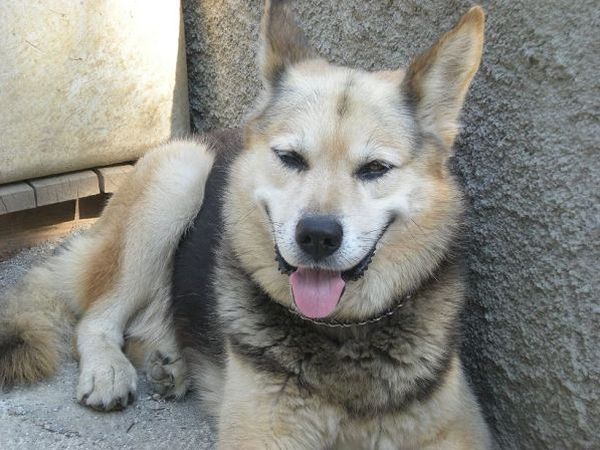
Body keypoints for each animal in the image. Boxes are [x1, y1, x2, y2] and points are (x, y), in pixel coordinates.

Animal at [1, 1, 492, 448]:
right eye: (290, 158)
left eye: (375, 169)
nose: (317, 236)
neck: (343, 331)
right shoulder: (261, 433)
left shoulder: (459, 429)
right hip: (179, 176)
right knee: (97, 317)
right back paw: (109, 369)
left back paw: (169, 360)